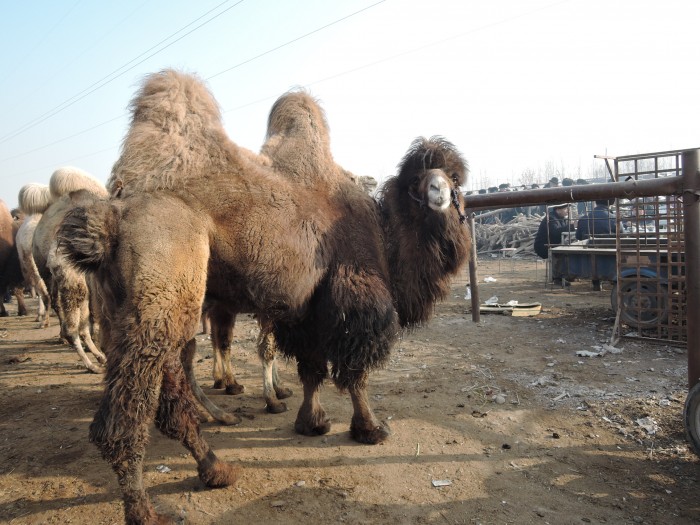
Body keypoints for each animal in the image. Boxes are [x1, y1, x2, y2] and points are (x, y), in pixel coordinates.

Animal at [56, 69, 470, 524]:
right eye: (418, 181)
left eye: (455, 178)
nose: (438, 192)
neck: (385, 235)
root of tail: (111, 215)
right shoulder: (355, 294)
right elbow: (355, 371)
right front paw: (370, 428)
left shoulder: (306, 309)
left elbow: (311, 369)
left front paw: (312, 422)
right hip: (165, 281)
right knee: (126, 414)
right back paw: (147, 510)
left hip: (126, 305)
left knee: (169, 392)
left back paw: (215, 467)